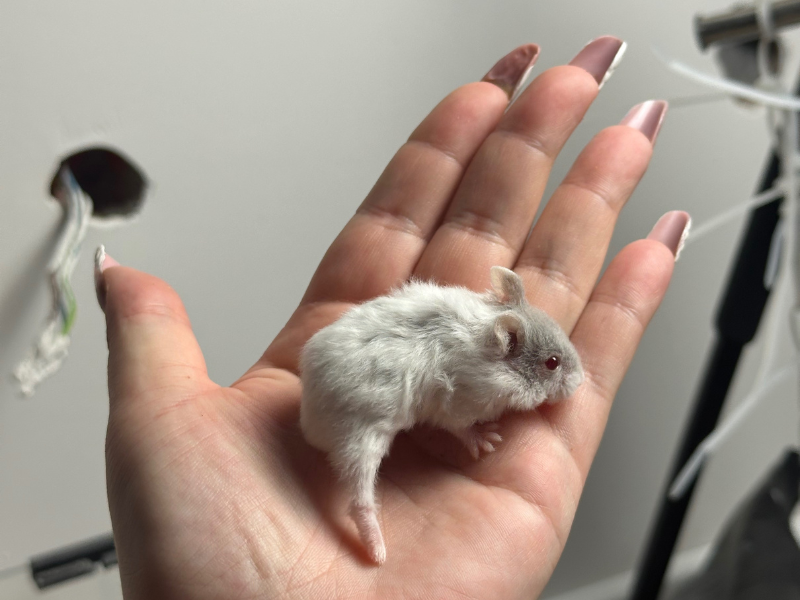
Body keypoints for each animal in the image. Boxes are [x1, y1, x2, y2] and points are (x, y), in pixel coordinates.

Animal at [299, 266, 584, 564]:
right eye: (552, 363)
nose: (581, 381)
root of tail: (309, 418)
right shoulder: (457, 406)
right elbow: (463, 430)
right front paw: (489, 441)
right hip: (361, 439)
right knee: (359, 502)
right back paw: (378, 554)